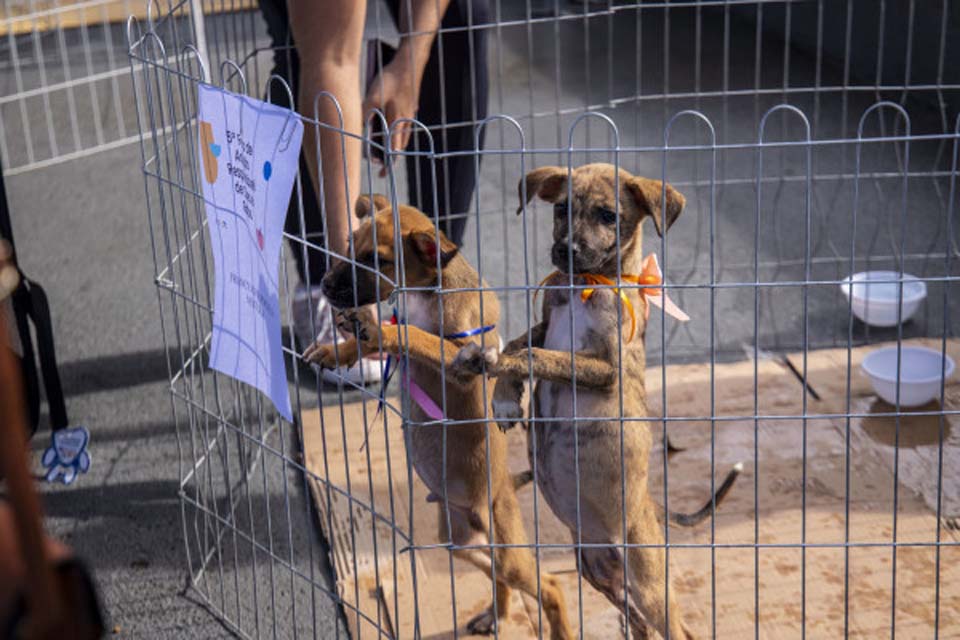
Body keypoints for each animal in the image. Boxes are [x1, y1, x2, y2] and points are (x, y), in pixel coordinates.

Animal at [304, 196, 572, 640]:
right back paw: (496, 614)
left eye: (378, 260)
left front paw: (379, 333)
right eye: (350, 244)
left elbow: (415, 336)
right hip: (459, 540)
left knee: (548, 584)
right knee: (496, 573)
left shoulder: (463, 362)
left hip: (506, 544)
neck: (428, 291)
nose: (324, 286)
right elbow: (383, 339)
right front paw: (335, 350)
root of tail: (504, 488)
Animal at [454, 166, 748, 640]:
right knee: (641, 627)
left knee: (677, 629)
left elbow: (534, 354)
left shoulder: (607, 366)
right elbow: (522, 341)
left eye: (609, 215)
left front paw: (499, 370)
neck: (586, 286)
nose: (564, 251)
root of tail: (652, 507)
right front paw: (504, 399)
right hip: (600, 573)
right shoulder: (546, 322)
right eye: (560, 209)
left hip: (648, 582)